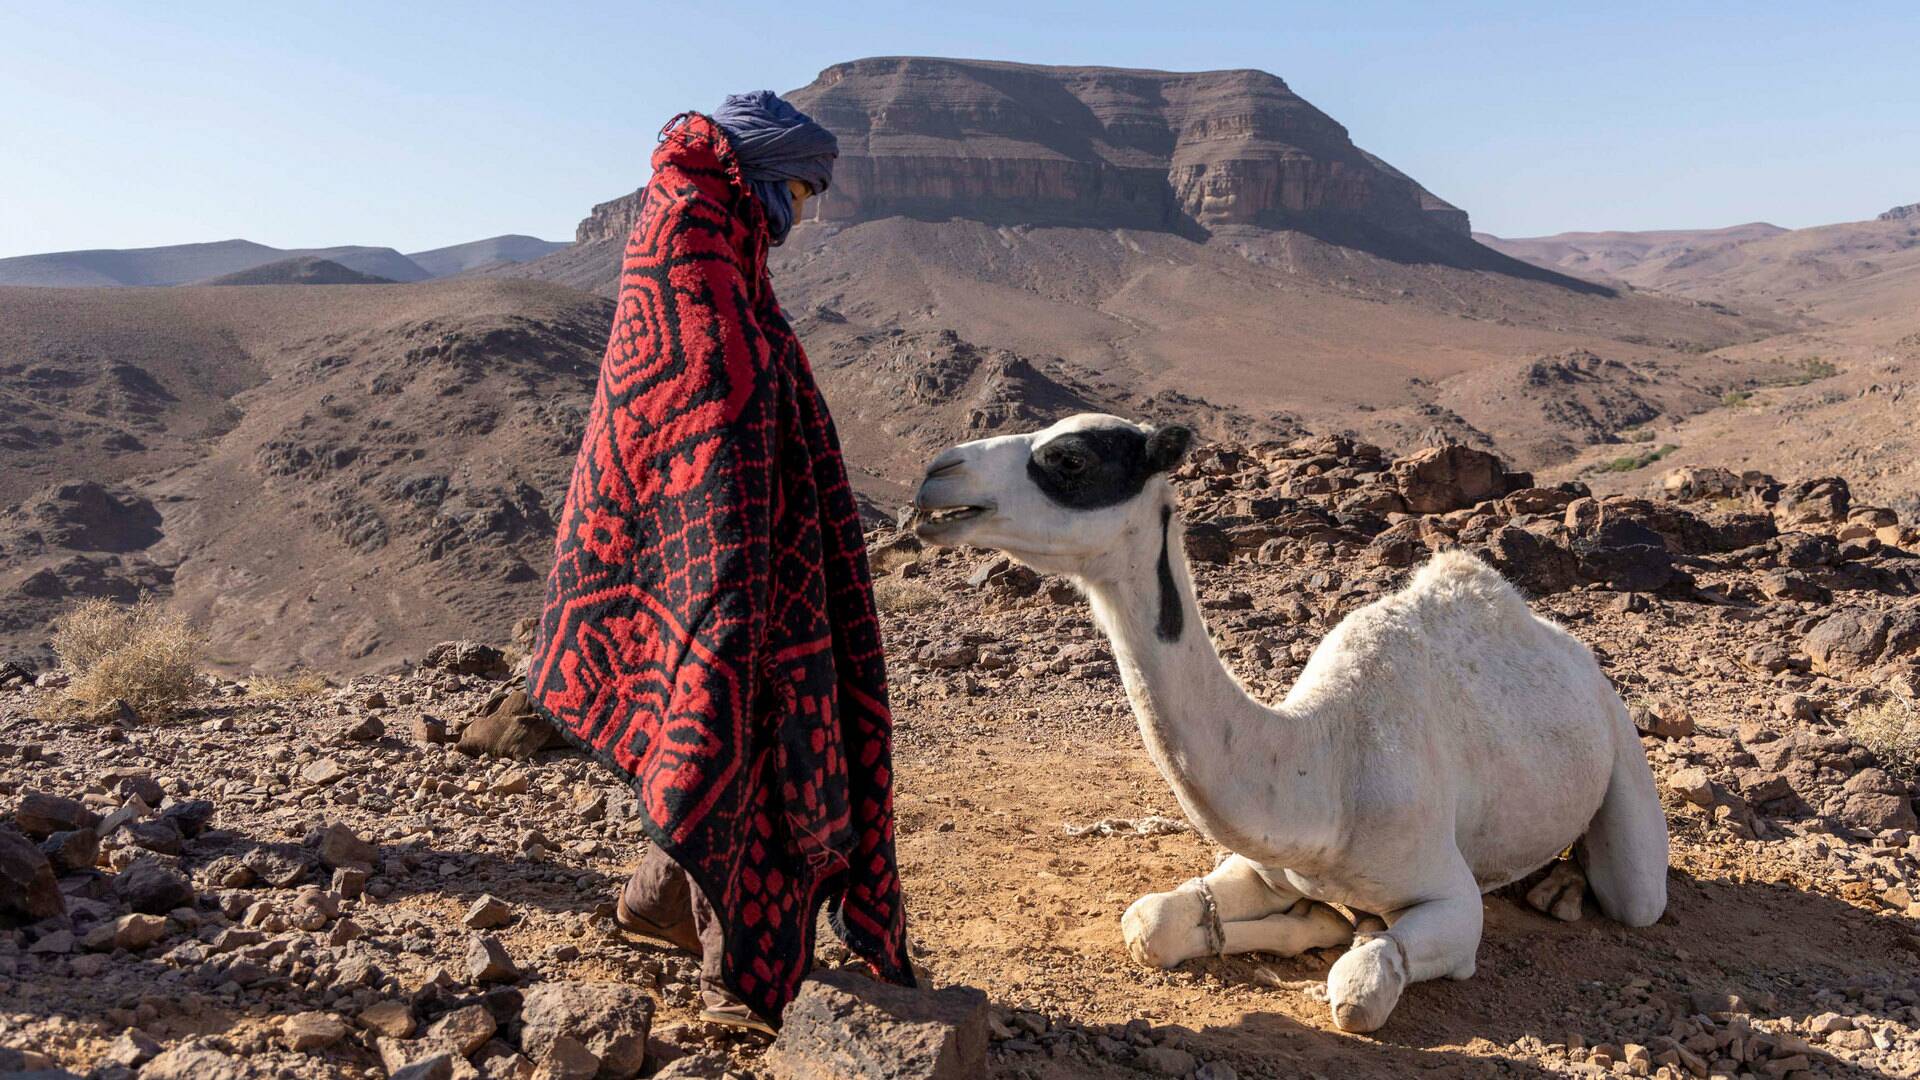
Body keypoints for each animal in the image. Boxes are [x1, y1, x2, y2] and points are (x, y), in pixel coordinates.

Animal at [910, 409, 1666, 1022]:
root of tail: (1578, 656)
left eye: (1071, 459)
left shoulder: (1450, 895)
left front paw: (1345, 935)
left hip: (1622, 752)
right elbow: (1148, 923)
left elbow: (1360, 986)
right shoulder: (1264, 861)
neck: (1323, 773)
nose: (936, 477)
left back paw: (1564, 887)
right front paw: (1315, 920)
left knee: (1635, 894)